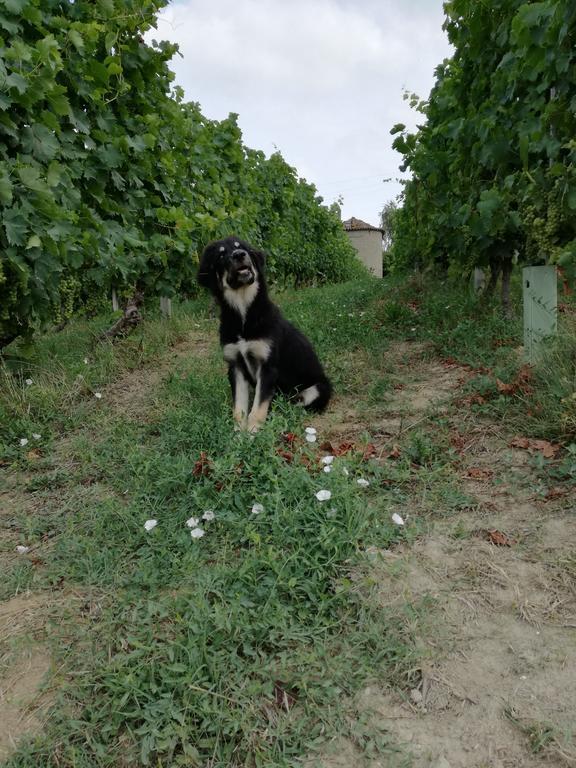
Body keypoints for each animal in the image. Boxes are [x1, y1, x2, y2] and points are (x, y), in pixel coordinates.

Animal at [199, 237, 330, 432]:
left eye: (241, 247)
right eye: (221, 255)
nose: (239, 255)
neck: (243, 315)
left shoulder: (267, 366)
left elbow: (258, 407)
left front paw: (253, 431)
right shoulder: (236, 366)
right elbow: (239, 408)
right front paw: (238, 433)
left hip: (316, 390)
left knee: (293, 403)